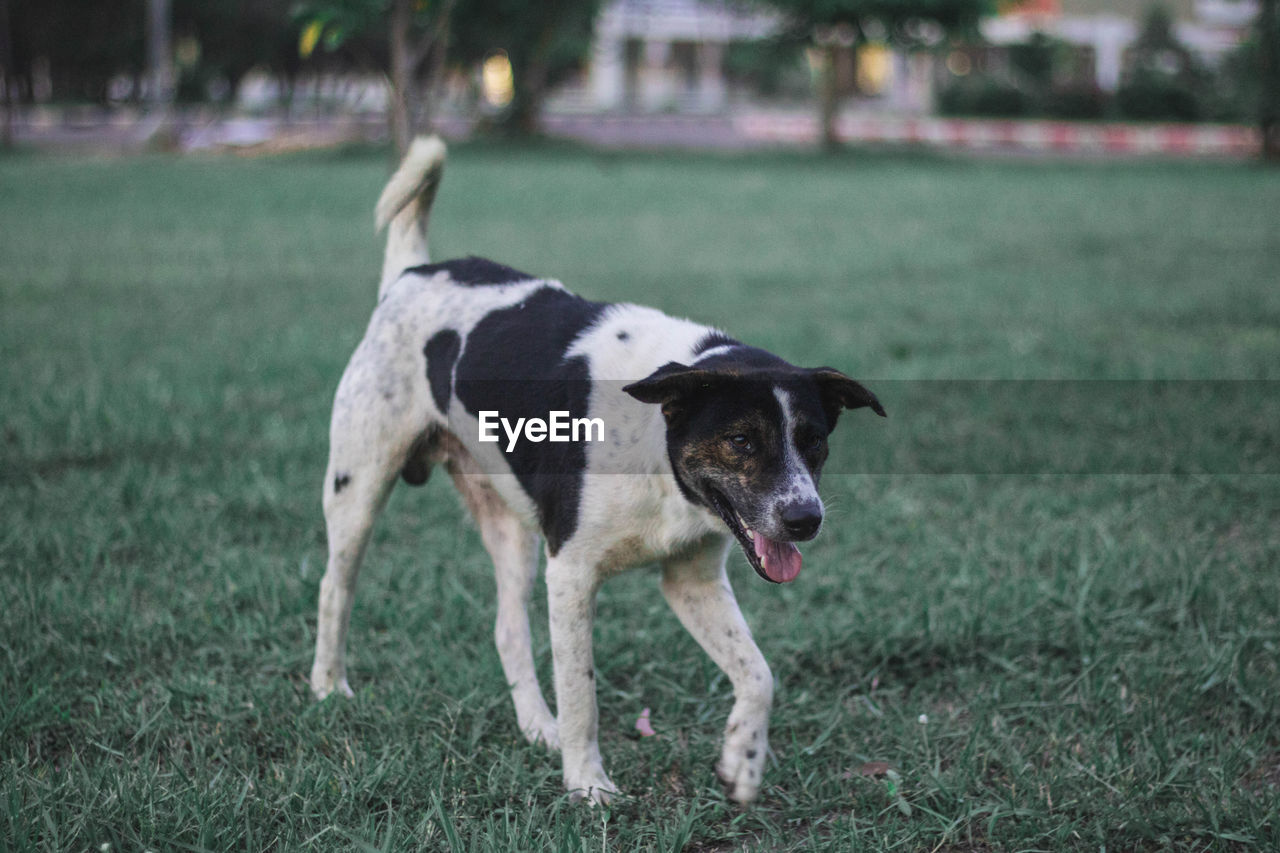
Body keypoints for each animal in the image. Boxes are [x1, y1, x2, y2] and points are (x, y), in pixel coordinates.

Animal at [314, 134, 885, 804]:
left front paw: (742, 760)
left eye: (814, 441)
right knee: (335, 586)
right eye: (741, 441)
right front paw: (588, 785)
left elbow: (759, 674)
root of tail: (411, 274)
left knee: (507, 629)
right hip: (358, 487)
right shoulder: (571, 574)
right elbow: (582, 691)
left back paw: (537, 725)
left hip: (510, 524)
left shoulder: (691, 580)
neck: (658, 446)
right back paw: (328, 688)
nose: (804, 520)